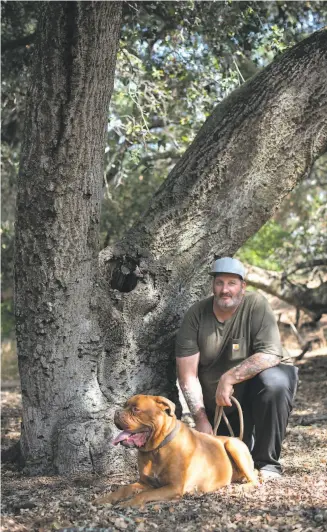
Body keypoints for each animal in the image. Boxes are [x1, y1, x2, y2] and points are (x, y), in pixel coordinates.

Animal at [95, 394, 258, 508]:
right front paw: (105, 499)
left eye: (136, 409)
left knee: (256, 479)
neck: (156, 449)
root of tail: (236, 437)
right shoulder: (145, 482)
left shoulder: (173, 487)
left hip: (233, 445)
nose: (116, 412)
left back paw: (243, 487)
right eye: (124, 406)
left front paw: (128, 503)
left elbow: (145, 494)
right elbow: (124, 489)